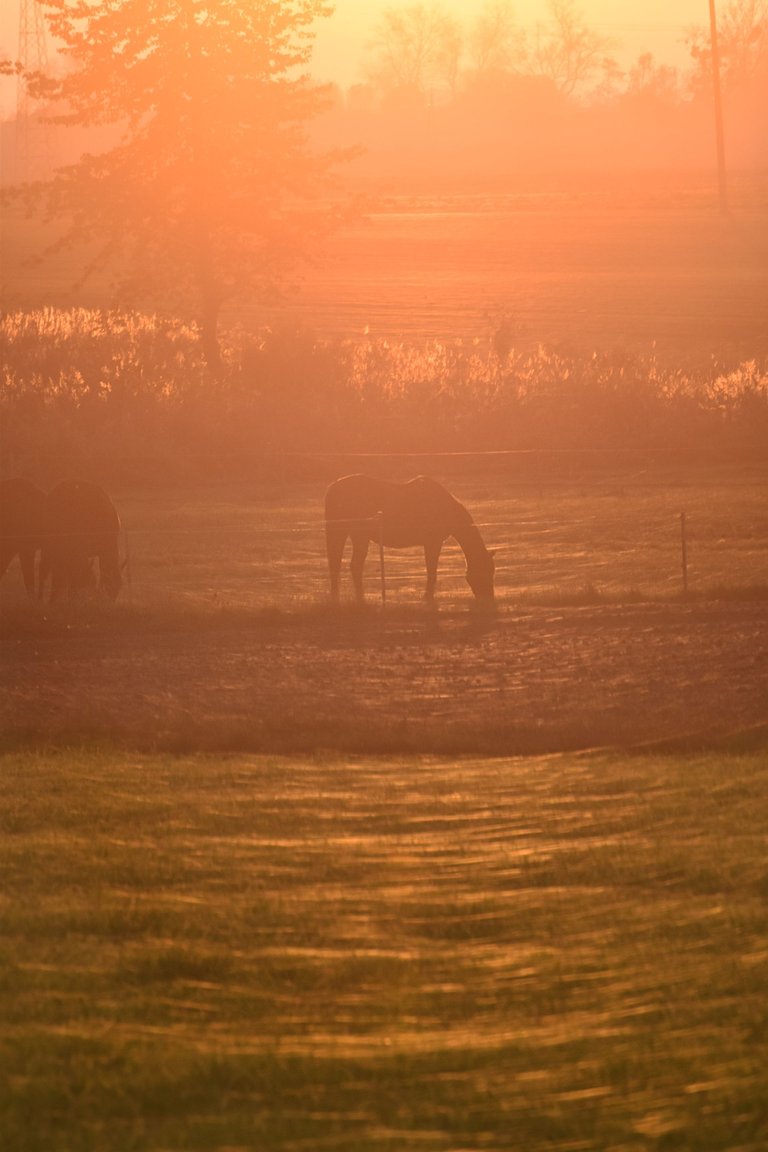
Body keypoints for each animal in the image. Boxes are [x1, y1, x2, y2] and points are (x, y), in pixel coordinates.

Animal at [322, 474, 492, 608]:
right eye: (486, 571)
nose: (489, 599)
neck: (444, 507)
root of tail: (332, 488)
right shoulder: (433, 543)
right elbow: (432, 571)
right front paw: (427, 597)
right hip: (351, 535)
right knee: (345, 564)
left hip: (353, 535)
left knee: (345, 564)